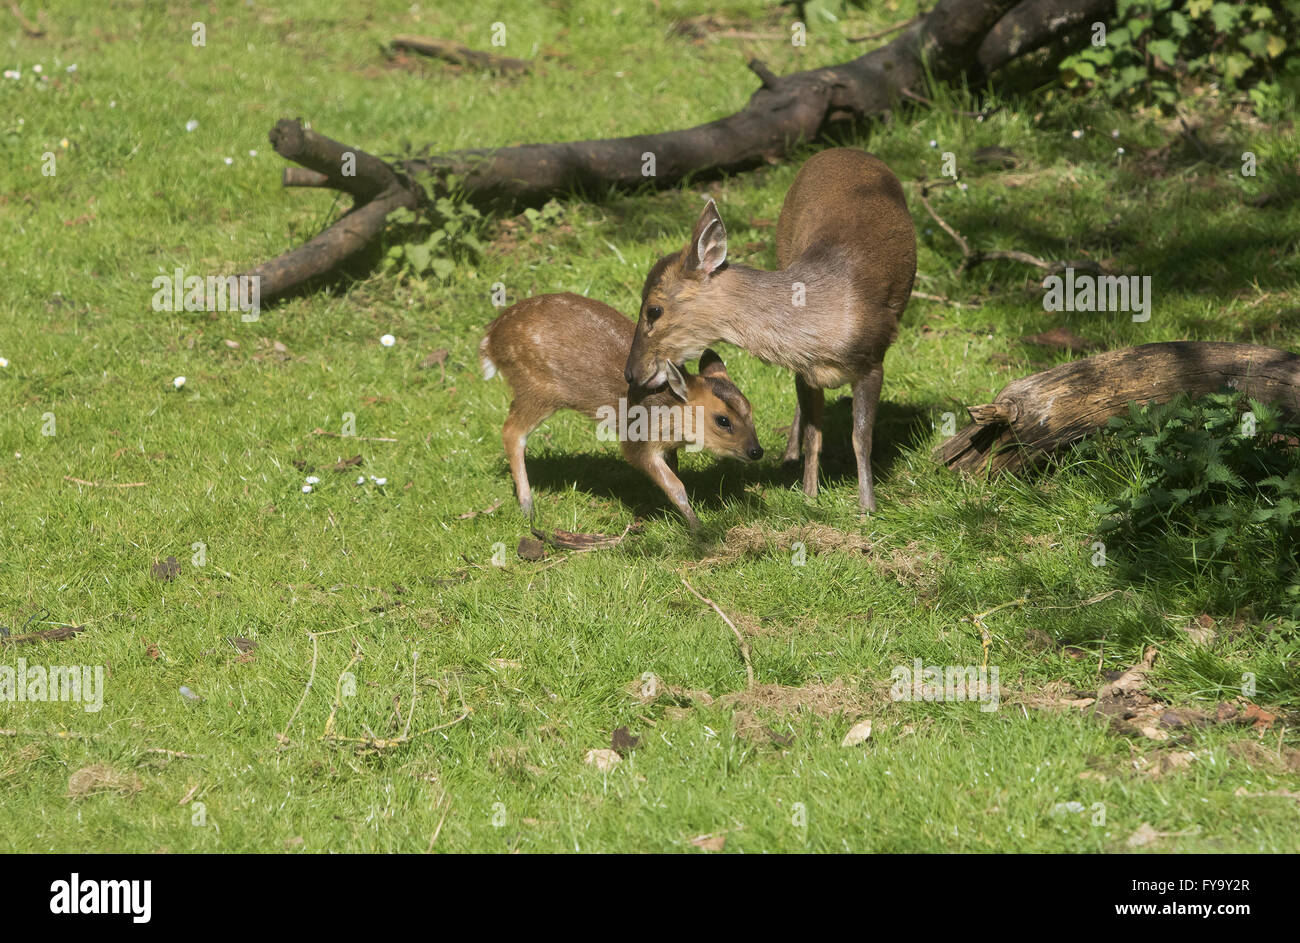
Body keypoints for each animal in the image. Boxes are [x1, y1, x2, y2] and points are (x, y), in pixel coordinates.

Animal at [480, 292, 763, 530]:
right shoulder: (636, 439)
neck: (664, 409)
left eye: (749, 408)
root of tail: (489, 340)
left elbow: (674, 472)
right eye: (722, 420)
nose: (756, 451)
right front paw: (698, 528)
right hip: (536, 388)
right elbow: (675, 484)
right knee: (511, 432)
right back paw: (528, 508)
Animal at [624, 148, 917, 512]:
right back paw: (789, 456)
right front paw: (809, 496)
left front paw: (867, 507)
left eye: (653, 310)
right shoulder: (806, 368)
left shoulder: (872, 359)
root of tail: (843, 150)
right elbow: (815, 432)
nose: (631, 373)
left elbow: (861, 437)